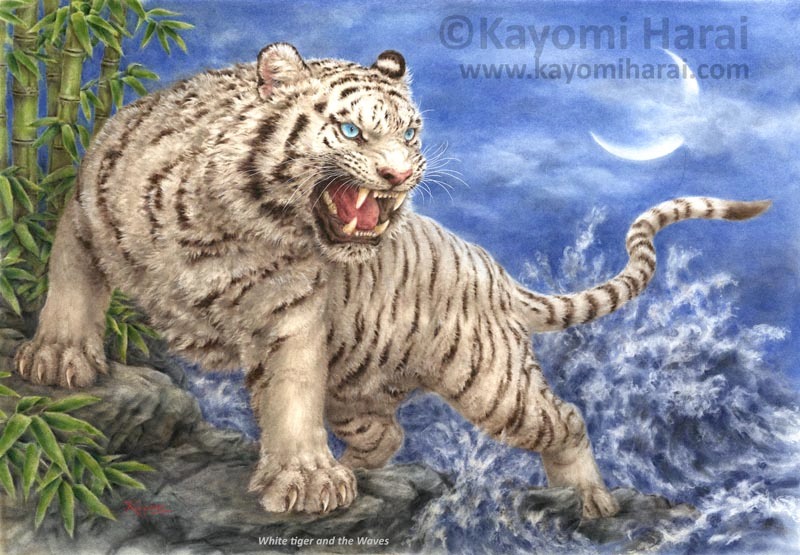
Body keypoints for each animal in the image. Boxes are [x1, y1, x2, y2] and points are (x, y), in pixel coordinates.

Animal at [12, 42, 770, 518]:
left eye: (410, 134)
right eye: (350, 130)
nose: (402, 175)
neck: (231, 225)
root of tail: (492, 268)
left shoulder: (293, 312)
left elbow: (290, 393)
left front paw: (306, 479)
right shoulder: (84, 207)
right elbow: (70, 287)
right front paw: (58, 360)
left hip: (493, 381)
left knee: (566, 419)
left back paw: (589, 499)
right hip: (359, 388)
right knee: (388, 434)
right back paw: (363, 467)